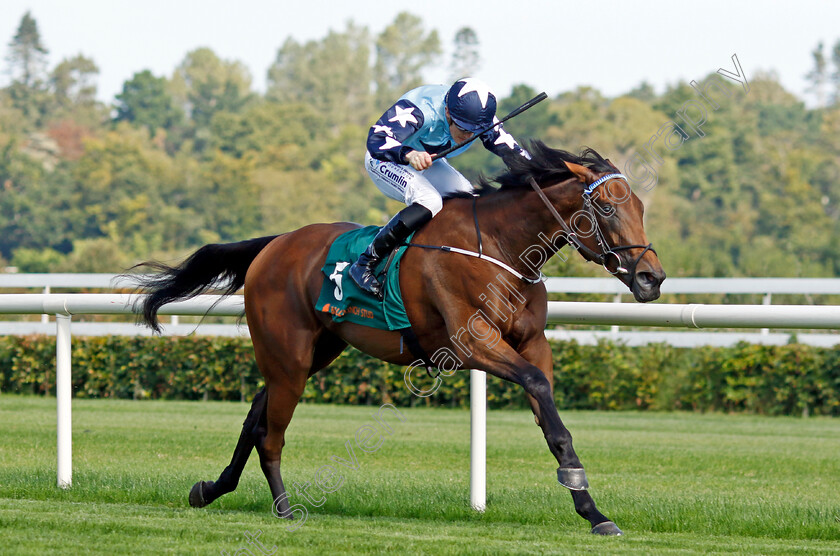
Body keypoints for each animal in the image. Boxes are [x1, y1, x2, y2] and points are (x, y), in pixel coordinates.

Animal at [136, 141, 664, 536]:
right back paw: (284, 509)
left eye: (640, 207)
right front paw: (583, 495)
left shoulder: (533, 343)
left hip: (311, 353)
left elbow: (552, 419)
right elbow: (536, 386)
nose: (651, 278)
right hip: (288, 356)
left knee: (254, 417)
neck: (501, 247)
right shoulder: (473, 344)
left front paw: (593, 511)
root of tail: (276, 243)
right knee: (271, 431)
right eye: (607, 208)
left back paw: (211, 489)